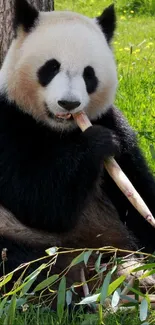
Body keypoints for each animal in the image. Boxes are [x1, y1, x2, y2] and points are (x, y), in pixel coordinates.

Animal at [0, 0, 155, 296]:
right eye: (50, 67)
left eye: (89, 74)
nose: (69, 103)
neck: (60, 129)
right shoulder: (8, 121)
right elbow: (40, 201)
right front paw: (97, 143)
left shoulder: (110, 120)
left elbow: (137, 187)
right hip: (23, 238)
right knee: (23, 266)